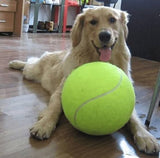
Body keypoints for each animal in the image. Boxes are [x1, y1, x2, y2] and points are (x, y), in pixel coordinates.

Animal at [9, 6, 159, 154]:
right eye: (92, 22)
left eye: (112, 20)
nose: (105, 35)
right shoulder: (60, 92)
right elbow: (54, 108)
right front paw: (45, 124)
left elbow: (134, 119)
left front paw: (146, 136)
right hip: (32, 71)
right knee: (29, 62)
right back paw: (15, 63)